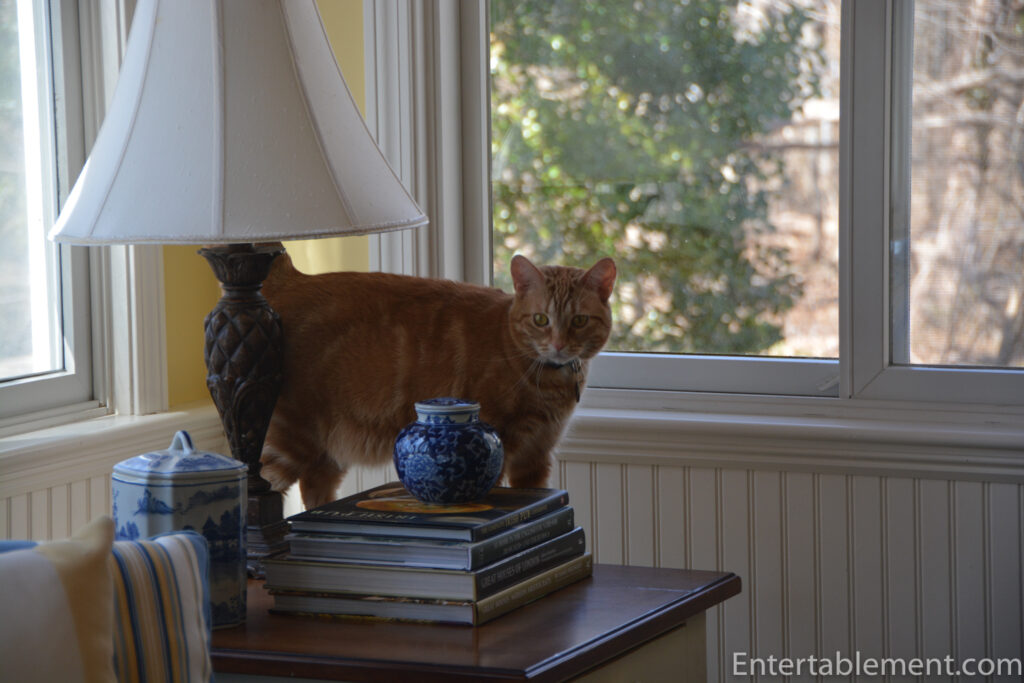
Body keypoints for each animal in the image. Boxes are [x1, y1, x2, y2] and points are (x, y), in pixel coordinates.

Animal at [258, 250, 616, 509]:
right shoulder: (502, 451)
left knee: (313, 494)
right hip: (288, 444)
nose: (558, 344)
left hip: (328, 457)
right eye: (541, 319)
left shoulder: (535, 458)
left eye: (579, 321)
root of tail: (290, 278)